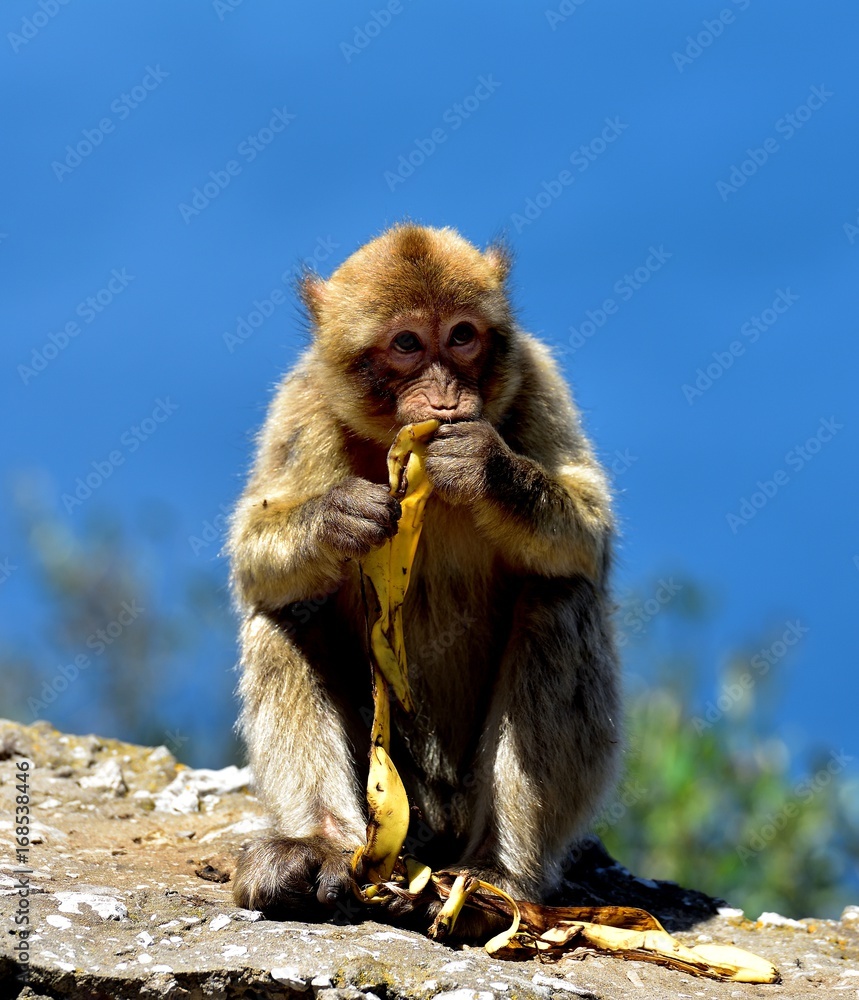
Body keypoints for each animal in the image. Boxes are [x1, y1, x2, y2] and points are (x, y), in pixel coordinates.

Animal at [227, 223, 620, 927]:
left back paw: (496, 876)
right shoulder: (303, 405)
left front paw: (484, 466)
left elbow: (590, 534)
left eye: (462, 335)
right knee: (285, 612)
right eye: (407, 343)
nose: (444, 398)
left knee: (560, 597)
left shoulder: (538, 378)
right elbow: (251, 559)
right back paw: (319, 850)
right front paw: (341, 515)